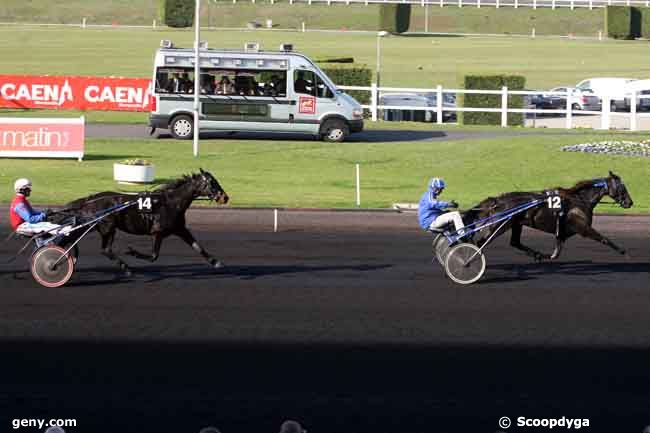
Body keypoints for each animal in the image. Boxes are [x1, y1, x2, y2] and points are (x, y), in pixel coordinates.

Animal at [60, 168, 228, 274]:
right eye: (212, 182)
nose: (225, 197)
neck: (170, 203)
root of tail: (89, 200)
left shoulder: (180, 229)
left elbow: (198, 247)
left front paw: (216, 262)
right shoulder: (157, 232)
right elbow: (154, 256)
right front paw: (132, 252)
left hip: (101, 227)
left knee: (102, 249)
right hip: (107, 227)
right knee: (104, 249)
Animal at [460, 171, 632, 260]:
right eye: (622, 187)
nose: (630, 202)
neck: (579, 199)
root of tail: (497, 200)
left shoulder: (563, 232)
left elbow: (556, 253)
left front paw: (546, 255)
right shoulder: (582, 228)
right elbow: (604, 238)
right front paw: (624, 252)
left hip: (516, 224)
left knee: (515, 242)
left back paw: (537, 254)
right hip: (499, 225)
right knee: (481, 242)